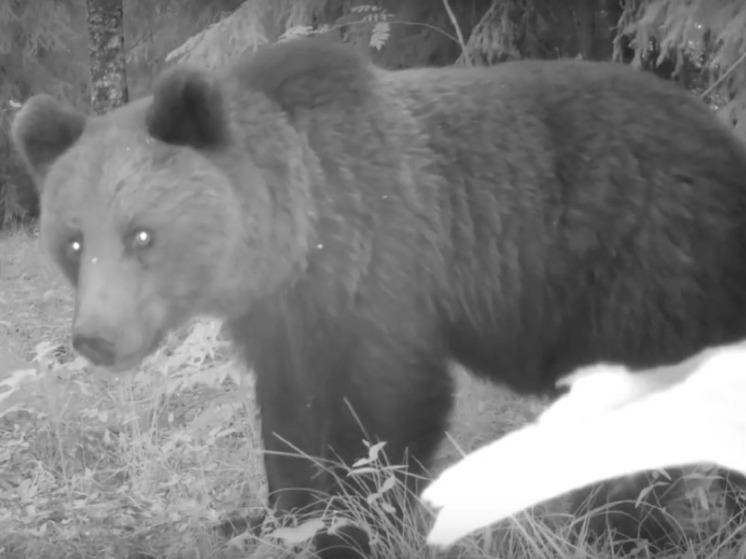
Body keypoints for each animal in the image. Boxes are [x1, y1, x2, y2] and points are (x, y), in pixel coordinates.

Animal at [13, 37, 746, 556]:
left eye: (142, 234)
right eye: (72, 241)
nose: (97, 337)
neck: (298, 232)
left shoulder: (382, 262)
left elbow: (385, 410)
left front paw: (353, 528)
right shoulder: (282, 319)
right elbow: (288, 418)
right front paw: (275, 516)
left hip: (644, 269)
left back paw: (618, 529)